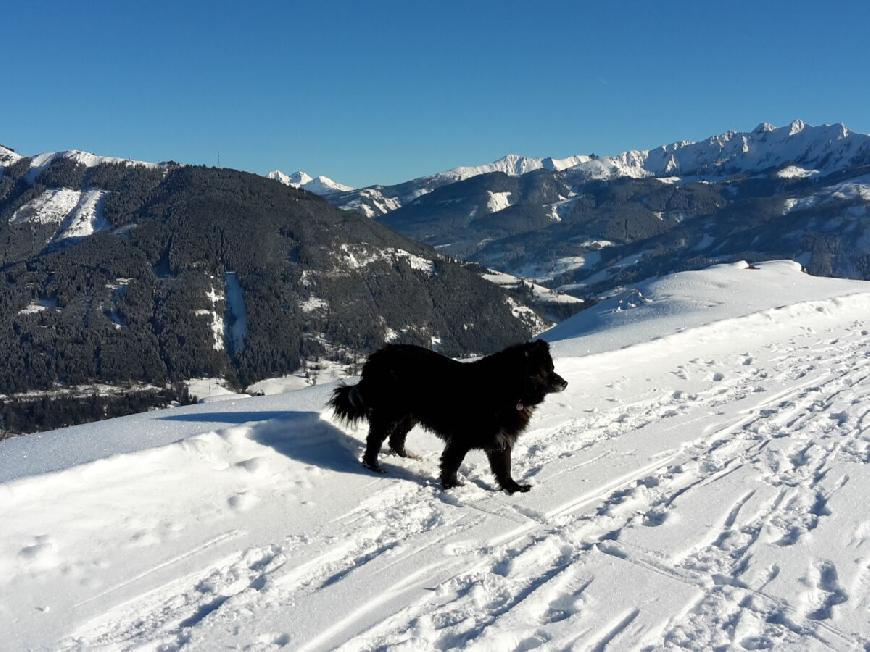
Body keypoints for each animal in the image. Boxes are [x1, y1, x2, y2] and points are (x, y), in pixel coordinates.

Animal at [330, 342, 568, 494]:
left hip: (409, 415)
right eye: (545, 371)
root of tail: (378, 355)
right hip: (390, 412)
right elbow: (451, 463)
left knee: (396, 439)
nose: (564, 383)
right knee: (375, 440)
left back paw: (407, 457)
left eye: (552, 368)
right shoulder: (461, 438)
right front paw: (451, 486)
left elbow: (504, 468)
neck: (508, 391)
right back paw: (374, 466)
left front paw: (513, 489)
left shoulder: (501, 440)